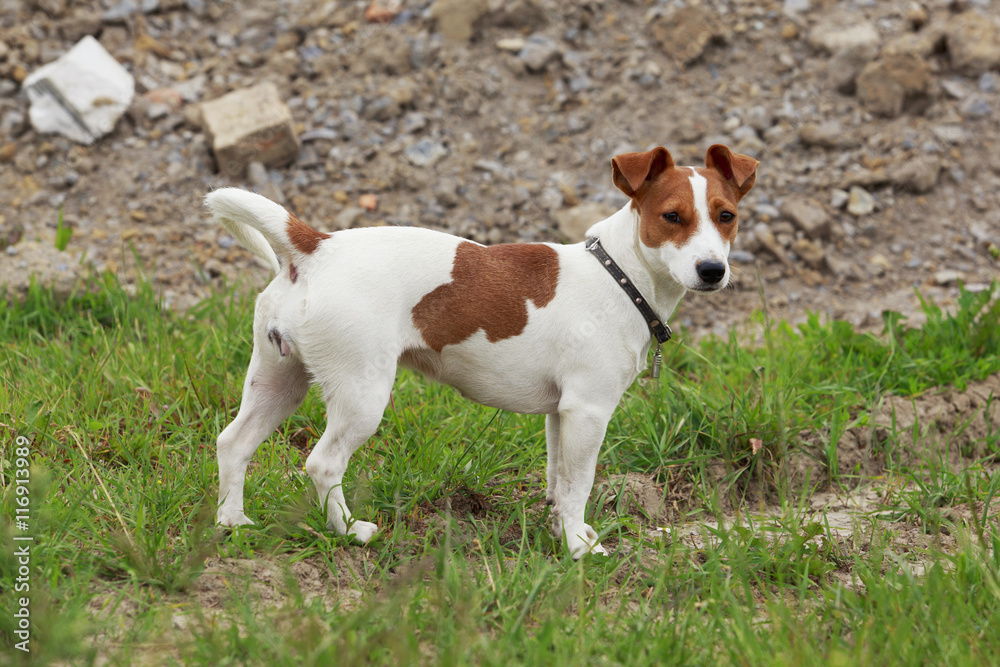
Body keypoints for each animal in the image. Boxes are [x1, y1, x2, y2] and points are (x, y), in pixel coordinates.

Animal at [209, 145, 756, 560]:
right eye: (672, 217)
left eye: (726, 216)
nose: (712, 270)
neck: (619, 274)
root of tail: (316, 248)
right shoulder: (589, 411)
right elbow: (579, 483)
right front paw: (580, 549)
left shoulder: (560, 414)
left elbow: (558, 480)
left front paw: (562, 532)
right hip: (361, 395)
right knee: (323, 464)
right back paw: (349, 531)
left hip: (278, 380)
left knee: (234, 443)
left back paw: (233, 521)